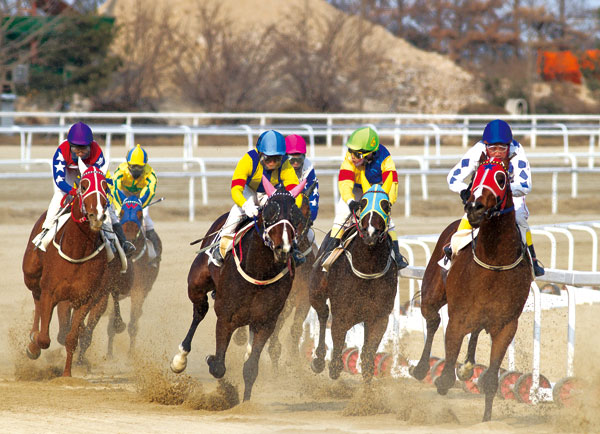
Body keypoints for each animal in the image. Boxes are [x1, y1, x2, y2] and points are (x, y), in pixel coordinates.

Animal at [22, 166, 120, 376]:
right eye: (83, 186)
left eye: (105, 186)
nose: (97, 215)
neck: (77, 250)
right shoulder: (50, 292)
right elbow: (44, 338)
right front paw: (34, 345)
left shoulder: (86, 298)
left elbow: (72, 338)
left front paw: (67, 374)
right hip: (31, 274)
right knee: (36, 297)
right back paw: (33, 338)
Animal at [171, 175, 308, 400]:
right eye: (270, 211)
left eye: (296, 215)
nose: (284, 248)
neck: (259, 271)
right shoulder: (226, 317)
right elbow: (218, 366)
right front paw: (210, 361)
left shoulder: (265, 322)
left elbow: (250, 368)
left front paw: (246, 403)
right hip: (196, 283)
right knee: (199, 311)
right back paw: (180, 359)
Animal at [310, 185, 398, 382]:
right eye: (363, 203)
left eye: (386, 205)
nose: (370, 233)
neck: (367, 269)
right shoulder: (342, 314)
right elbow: (336, 357)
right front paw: (332, 364)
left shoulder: (379, 317)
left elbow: (368, 358)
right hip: (316, 293)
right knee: (323, 314)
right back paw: (318, 359)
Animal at [410, 154, 532, 422]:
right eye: (475, 175)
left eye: (501, 178)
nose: (474, 207)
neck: (494, 263)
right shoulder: (457, 320)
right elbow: (446, 376)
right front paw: (441, 380)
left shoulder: (507, 325)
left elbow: (492, 381)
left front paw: (485, 419)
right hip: (432, 294)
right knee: (432, 320)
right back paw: (422, 367)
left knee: (473, 331)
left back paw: (466, 367)